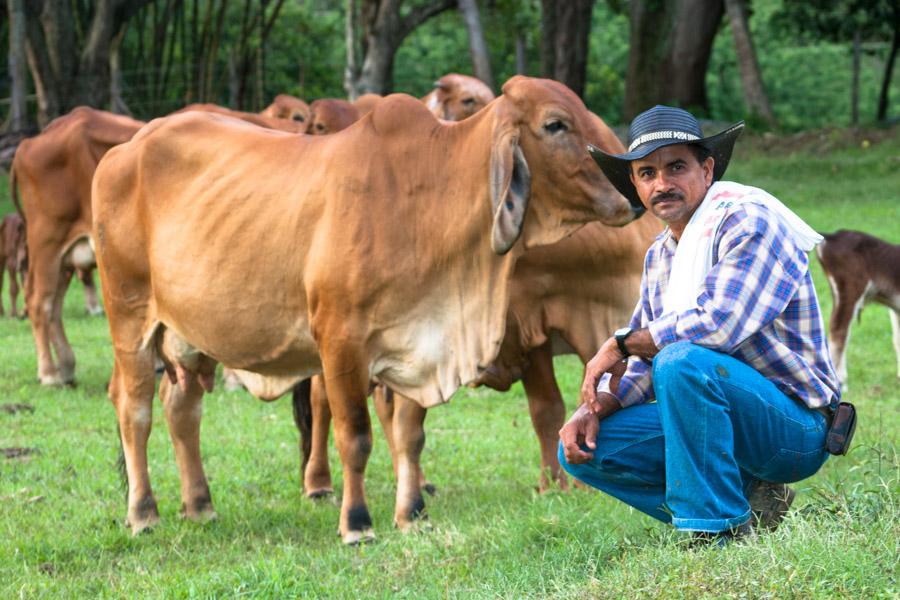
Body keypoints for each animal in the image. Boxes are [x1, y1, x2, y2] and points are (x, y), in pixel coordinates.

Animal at [10, 107, 145, 384]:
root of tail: (29, 143)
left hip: (66, 255)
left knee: (54, 305)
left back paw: (66, 366)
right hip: (47, 243)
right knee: (39, 301)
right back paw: (49, 373)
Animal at [91, 75, 636, 544]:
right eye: (555, 124)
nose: (630, 193)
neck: (429, 197)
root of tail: (126, 148)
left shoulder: (419, 337)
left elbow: (410, 435)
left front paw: (412, 513)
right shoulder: (341, 342)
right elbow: (355, 435)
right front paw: (357, 522)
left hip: (189, 333)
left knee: (182, 408)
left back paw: (200, 505)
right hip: (130, 316)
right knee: (134, 408)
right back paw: (143, 513)